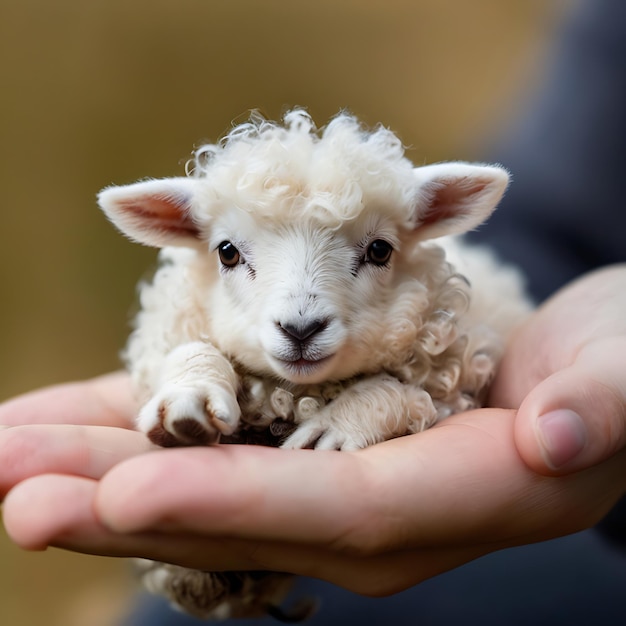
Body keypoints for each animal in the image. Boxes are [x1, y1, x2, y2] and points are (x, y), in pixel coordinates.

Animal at [97, 108, 532, 620]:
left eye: (380, 250)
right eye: (227, 251)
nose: (301, 329)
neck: (295, 393)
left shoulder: (453, 387)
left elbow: (400, 393)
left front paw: (339, 425)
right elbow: (192, 352)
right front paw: (189, 401)